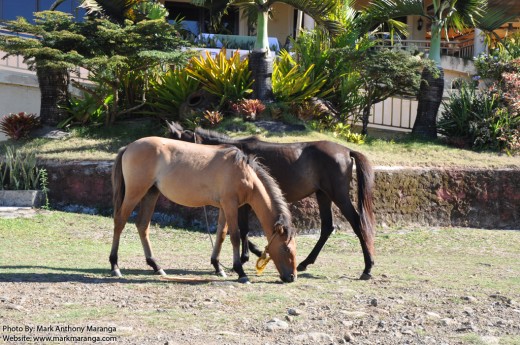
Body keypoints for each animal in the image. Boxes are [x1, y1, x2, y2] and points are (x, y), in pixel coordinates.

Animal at [109, 136, 296, 284]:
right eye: (286, 249)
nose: (292, 277)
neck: (242, 171)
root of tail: (129, 147)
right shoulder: (230, 205)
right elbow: (235, 236)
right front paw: (240, 272)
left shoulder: (224, 207)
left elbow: (221, 234)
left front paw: (217, 266)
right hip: (135, 192)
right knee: (120, 222)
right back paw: (115, 266)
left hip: (150, 193)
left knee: (142, 225)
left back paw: (156, 266)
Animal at [169, 122, 376, 278]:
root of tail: (346, 150)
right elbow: (243, 231)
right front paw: (256, 253)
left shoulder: (242, 203)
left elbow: (243, 230)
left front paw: (245, 257)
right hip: (323, 195)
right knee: (327, 227)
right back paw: (304, 263)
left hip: (338, 195)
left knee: (357, 223)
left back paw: (367, 268)